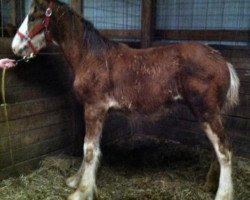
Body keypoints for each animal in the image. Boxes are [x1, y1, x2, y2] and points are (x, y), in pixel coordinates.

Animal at [10, 0, 239, 199]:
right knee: (218, 148)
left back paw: (223, 194)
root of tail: (223, 62)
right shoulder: (98, 111)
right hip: (212, 114)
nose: (15, 47)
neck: (91, 57)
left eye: (33, 16)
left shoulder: (94, 108)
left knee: (225, 149)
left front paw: (81, 191)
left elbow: (89, 149)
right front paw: (76, 180)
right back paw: (210, 184)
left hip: (206, 112)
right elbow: (92, 146)